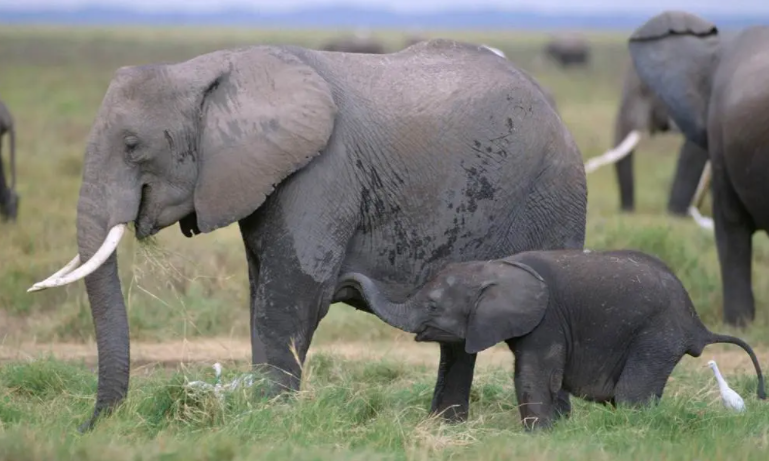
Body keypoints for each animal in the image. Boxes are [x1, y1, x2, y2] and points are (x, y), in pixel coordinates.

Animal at [25, 38, 588, 428]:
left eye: (133, 145)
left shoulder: (323, 173)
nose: (89, 426)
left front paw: (268, 422)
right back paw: (446, 427)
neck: (208, 69)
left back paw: (551, 428)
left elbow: (291, 296)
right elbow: (261, 293)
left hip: (554, 193)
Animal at [340, 250, 764, 430]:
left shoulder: (547, 320)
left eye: (432, 305)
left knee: (632, 393)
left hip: (657, 334)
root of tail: (698, 324)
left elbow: (534, 374)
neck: (494, 268)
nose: (345, 279)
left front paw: (537, 435)